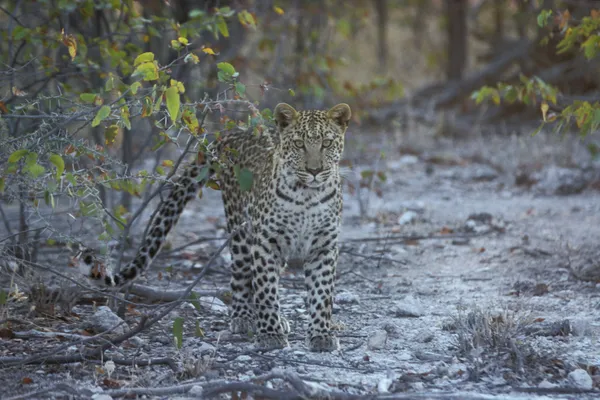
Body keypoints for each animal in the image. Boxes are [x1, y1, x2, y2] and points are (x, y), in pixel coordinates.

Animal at [78, 102, 352, 350]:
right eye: (298, 144)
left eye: (327, 143)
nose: (314, 170)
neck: (307, 195)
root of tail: (231, 134)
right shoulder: (266, 241)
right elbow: (265, 289)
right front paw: (270, 334)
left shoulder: (323, 245)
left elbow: (321, 294)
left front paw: (321, 335)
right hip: (241, 231)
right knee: (243, 277)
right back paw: (244, 318)